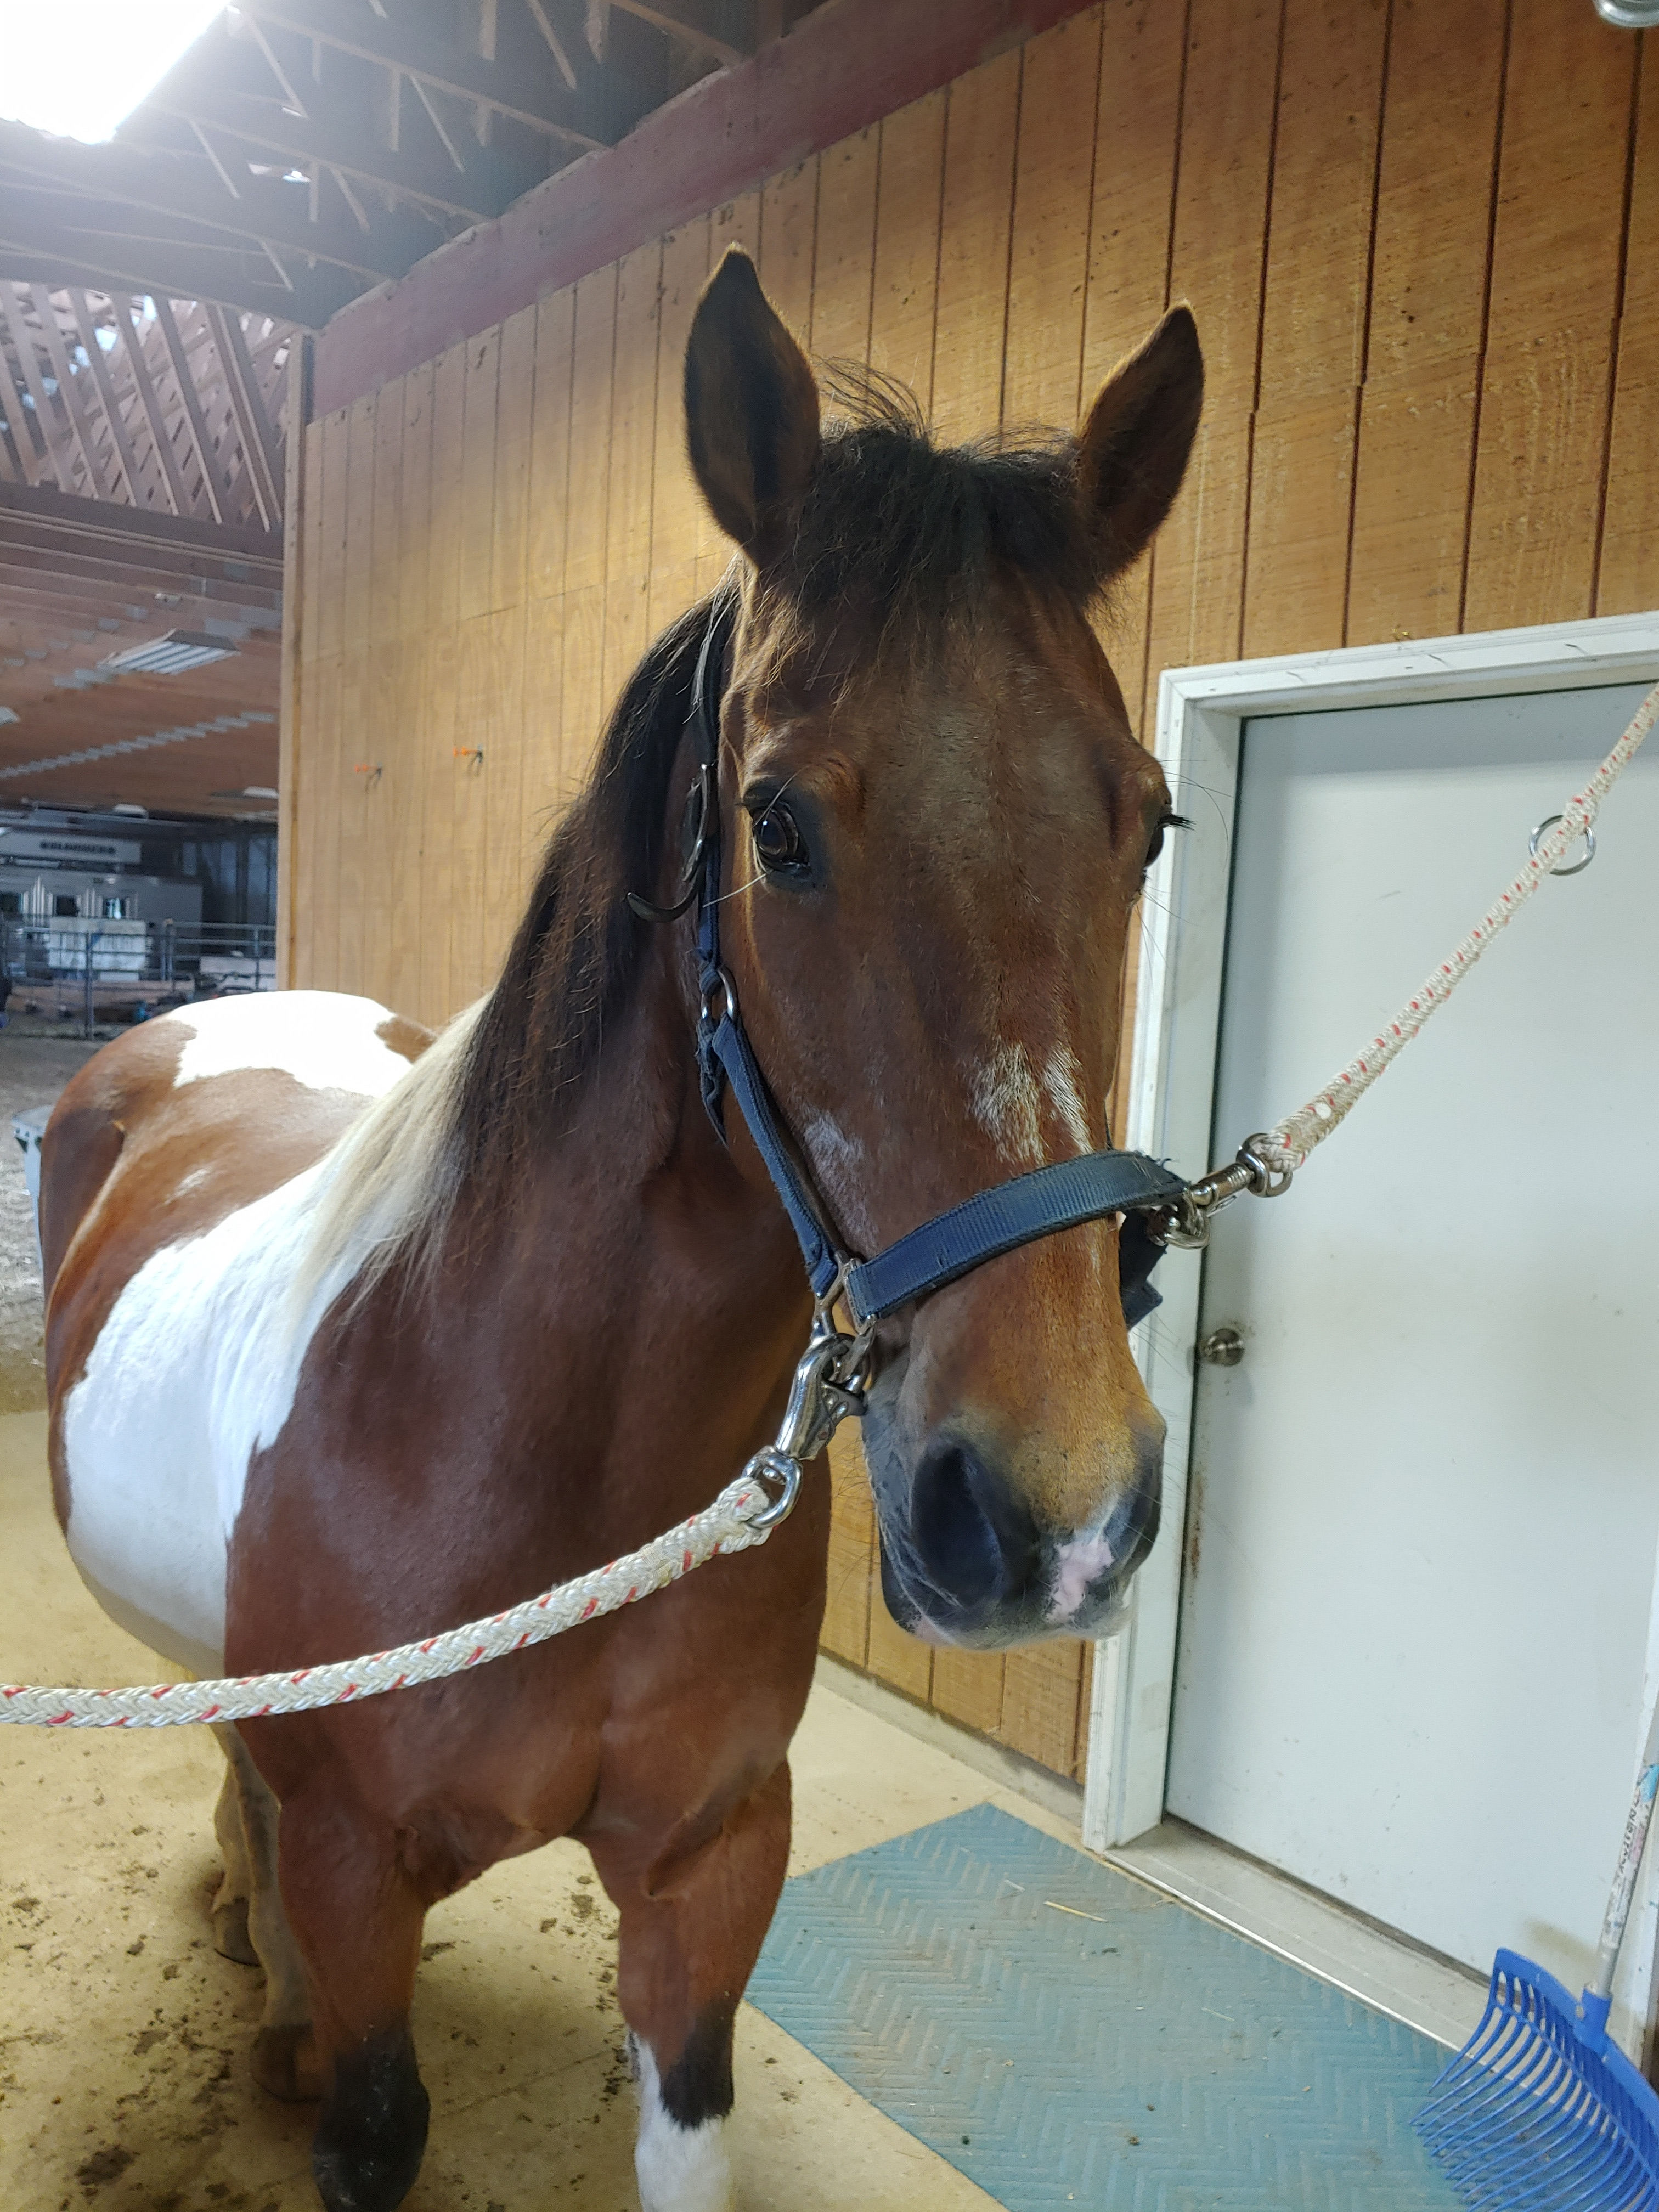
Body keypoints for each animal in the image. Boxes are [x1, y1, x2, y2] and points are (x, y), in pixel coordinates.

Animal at [38, 248, 1202, 2212]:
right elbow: (366, 2096)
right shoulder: (361, 1884)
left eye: (1149, 824)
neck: (522, 1446)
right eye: (778, 823)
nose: (1059, 1517)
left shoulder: (710, 1867)